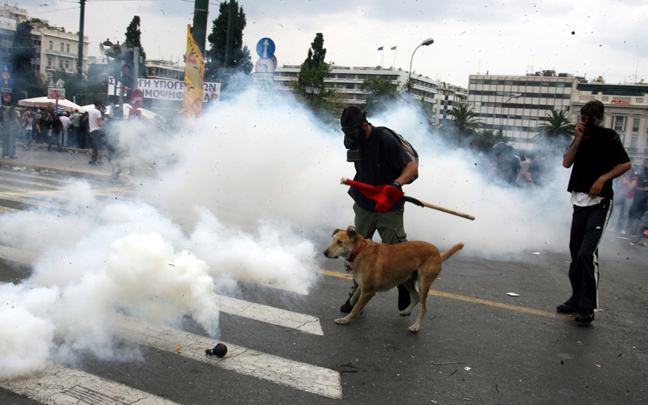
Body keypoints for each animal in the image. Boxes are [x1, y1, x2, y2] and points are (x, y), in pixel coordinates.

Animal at [322, 224, 464, 332]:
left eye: (339, 242)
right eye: (333, 240)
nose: (324, 252)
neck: (359, 251)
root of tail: (438, 254)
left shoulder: (369, 290)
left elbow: (356, 307)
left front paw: (345, 320)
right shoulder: (365, 286)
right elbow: (354, 299)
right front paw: (353, 305)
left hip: (424, 283)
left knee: (423, 308)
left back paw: (416, 326)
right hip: (407, 279)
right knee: (416, 296)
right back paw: (406, 311)